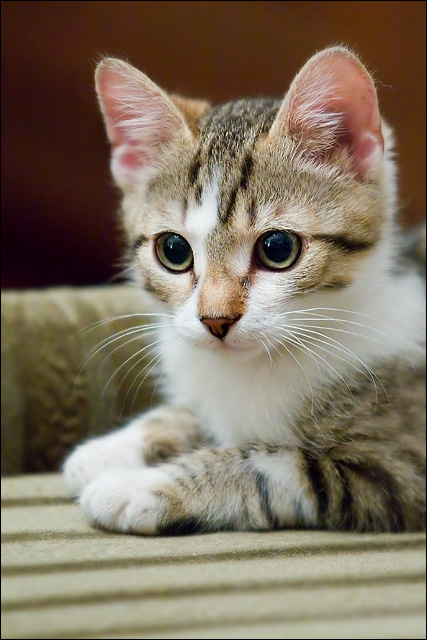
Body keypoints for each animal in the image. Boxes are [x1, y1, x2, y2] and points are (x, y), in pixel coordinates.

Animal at [61, 46, 426, 536]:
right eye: (173, 250)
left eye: (278, 248)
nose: (215, 320)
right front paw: (111, 448)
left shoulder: (399, 469)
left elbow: (270, 467)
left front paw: (138, 487)